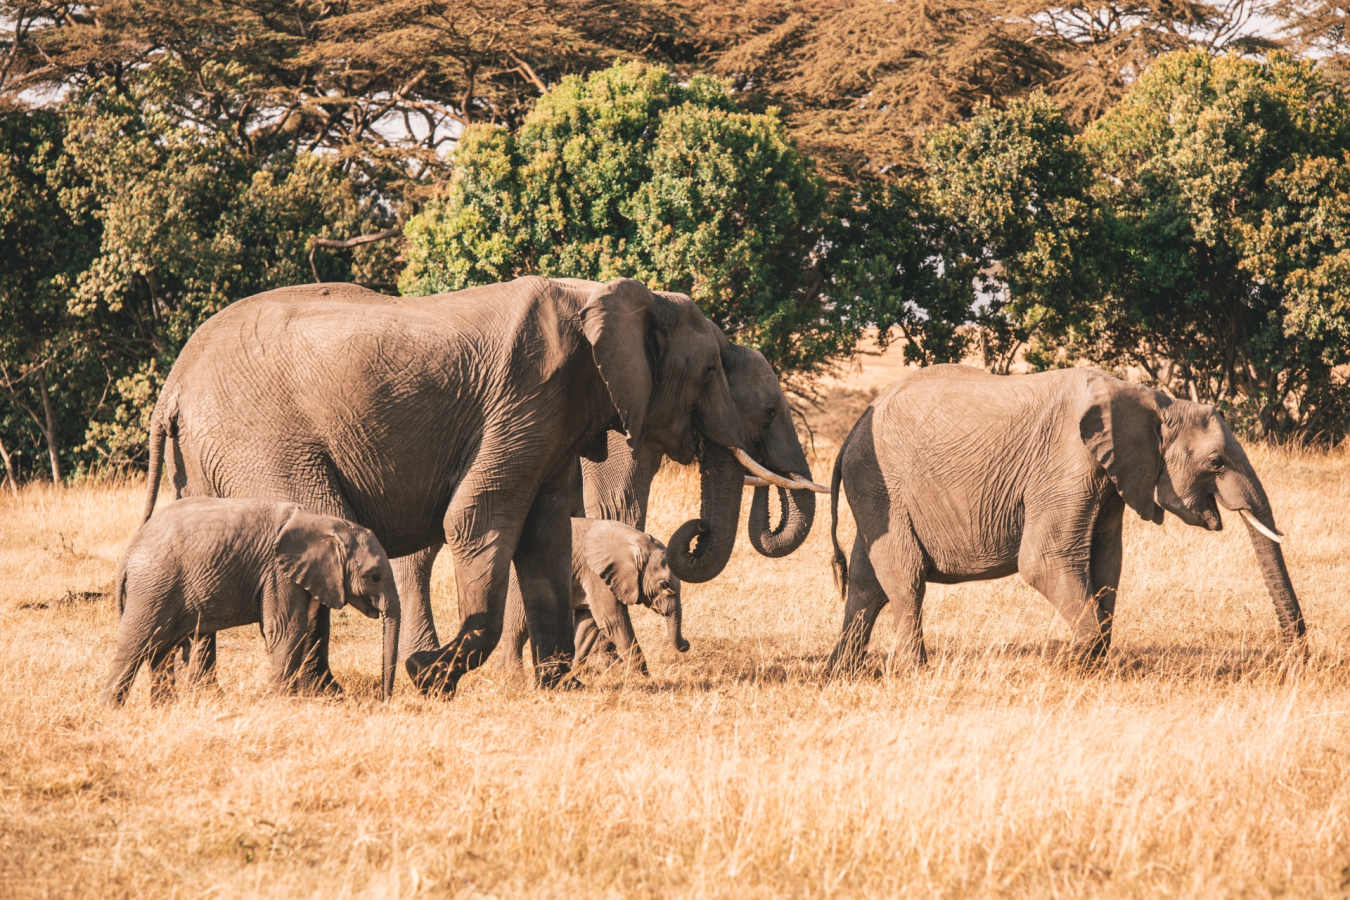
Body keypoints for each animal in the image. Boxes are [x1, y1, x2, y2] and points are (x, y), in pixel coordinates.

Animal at [103, 498, 399, 705]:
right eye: (374, 576)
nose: (384, 699)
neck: (323, 522)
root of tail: (128, 554)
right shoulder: (278, 572)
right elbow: (286, 630)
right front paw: (283, 704)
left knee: (160, 650)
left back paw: (165, 709)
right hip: (153, 586)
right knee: (135, 645)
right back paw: (112, 710)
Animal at [498, 517, 685, 676]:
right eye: (665, 585)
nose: (686, 645)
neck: (634, 540)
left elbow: (588, 625)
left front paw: (572, 673)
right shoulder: (596, 574)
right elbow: (613, 620)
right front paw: (644, 678)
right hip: (516, 583)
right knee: (517, 628)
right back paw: (516, 679)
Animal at [826, 365, 1306, 674]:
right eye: (1216, 462)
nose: (1297, 657)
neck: (1151, 400)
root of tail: (851, 430)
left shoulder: (1112, 476)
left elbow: (1106, 561)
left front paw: (1092, 662)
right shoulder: (1067, 466)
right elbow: (1044, 561)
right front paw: (1076, 661)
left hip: (875, 493)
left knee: (868, 582)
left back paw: (841, 672)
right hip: (882, 486)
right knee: (904, 577)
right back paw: (917, 672)